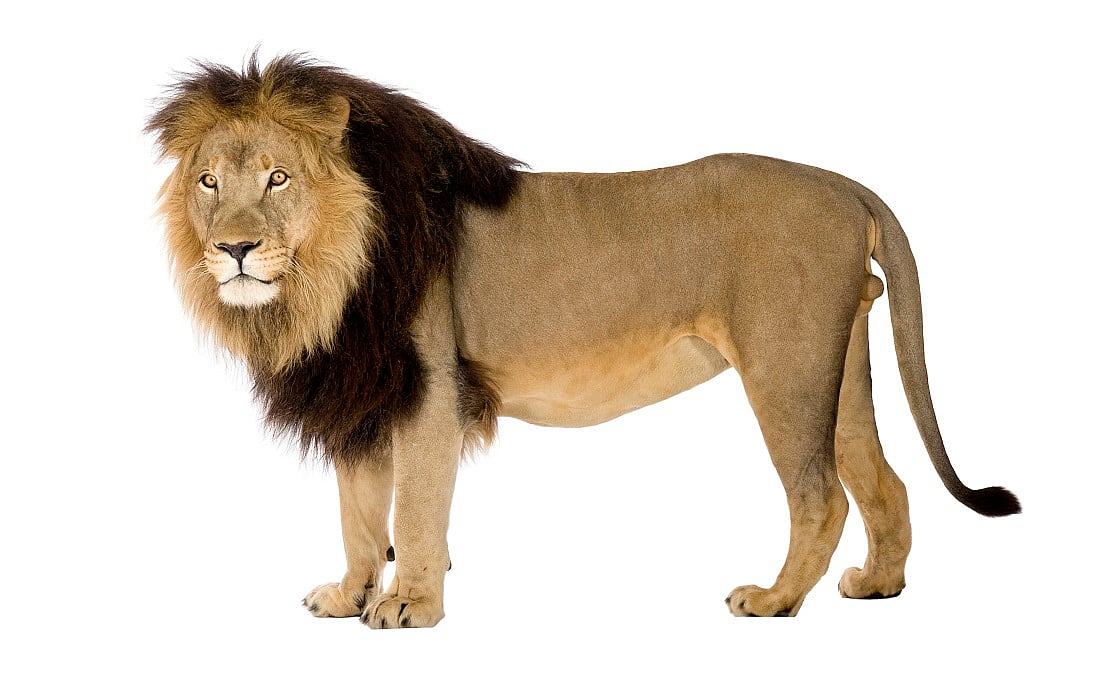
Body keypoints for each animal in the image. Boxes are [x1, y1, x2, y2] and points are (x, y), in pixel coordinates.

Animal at [147, 54, 1019, 626]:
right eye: (209, 182)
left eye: (278, 178)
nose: (233, 248)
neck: (327, 280)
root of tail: (846, 184)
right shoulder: (364, 389)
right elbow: (357, 511)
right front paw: (348, 593)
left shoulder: (429, 390)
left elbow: (414, 510)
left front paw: (408, 605)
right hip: (838, 365)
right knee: (883, 480)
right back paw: (877, 585)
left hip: (784, 364)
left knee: (820, 493)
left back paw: (773, 600)